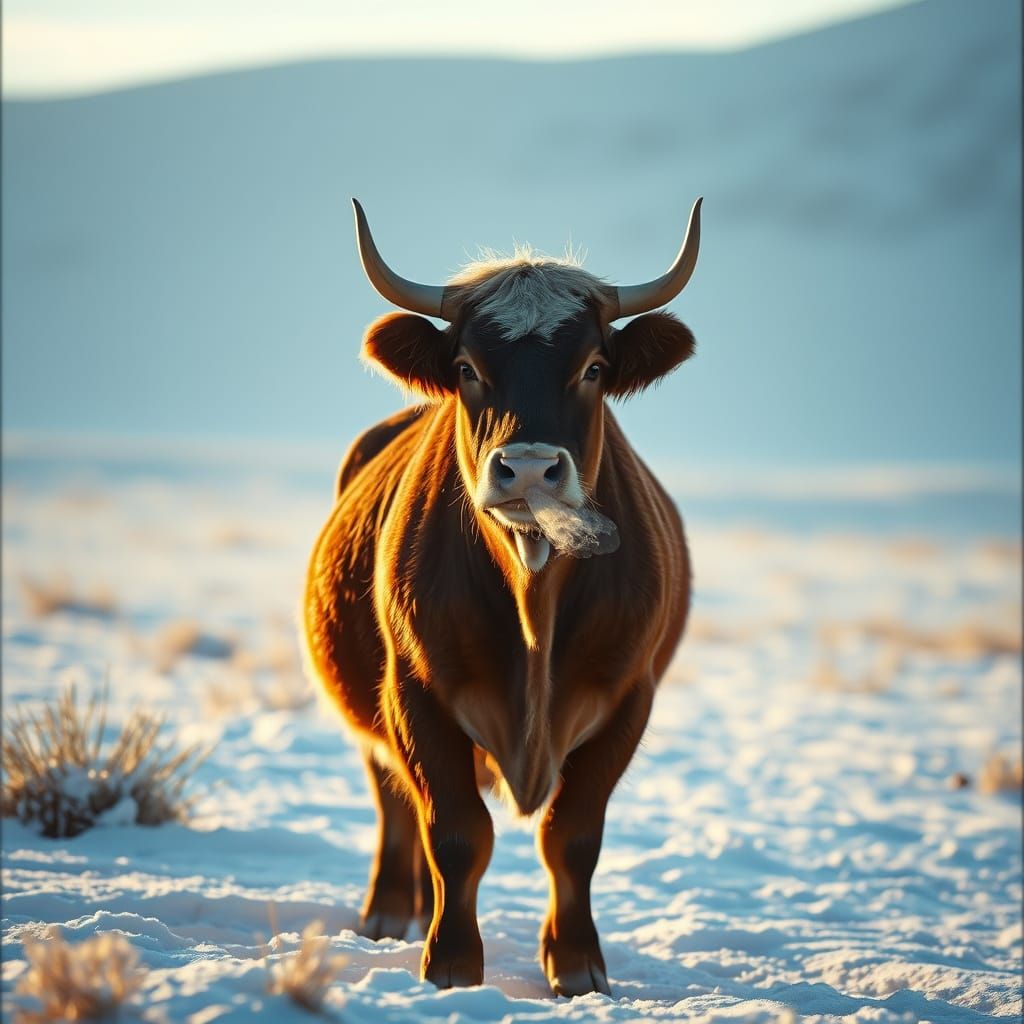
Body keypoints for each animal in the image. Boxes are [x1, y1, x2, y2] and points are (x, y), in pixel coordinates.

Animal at [303, 198, 701, 997]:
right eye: (466, 368)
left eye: (593, 367)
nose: (529, 470)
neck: (533, 606)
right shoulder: (415, 693)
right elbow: (457, 832)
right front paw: (452, 964)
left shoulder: (628, 698)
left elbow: (572, 836)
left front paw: (577, 966)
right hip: (373, 712)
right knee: (395, 802)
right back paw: (391, 914)